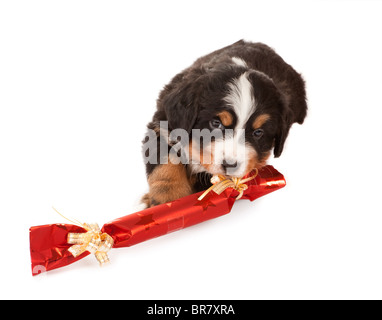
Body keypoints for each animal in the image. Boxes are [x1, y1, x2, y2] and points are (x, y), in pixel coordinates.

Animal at [141, 39, 308, 208]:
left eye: (258, 133)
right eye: (216, 123)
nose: (230, 165)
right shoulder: (163, 124)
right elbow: (165, 163)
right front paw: (168, 199)